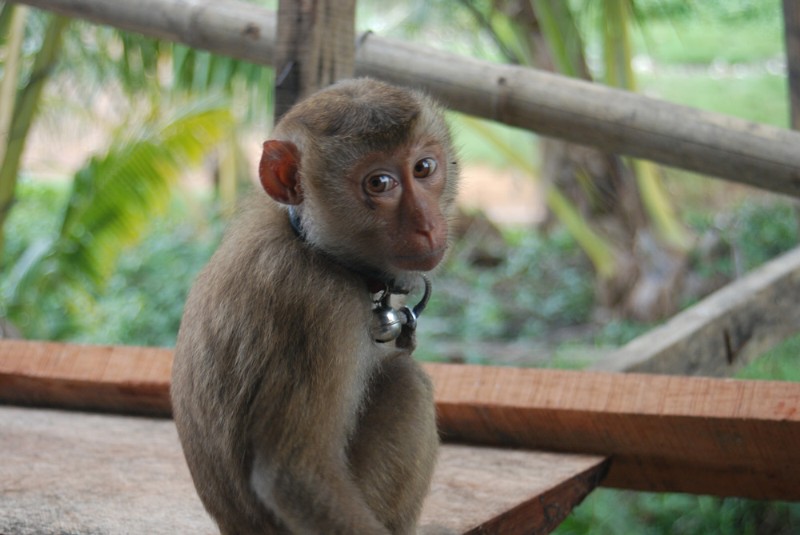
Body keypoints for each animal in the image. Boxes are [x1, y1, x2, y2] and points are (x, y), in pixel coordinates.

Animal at [171, 78, 460, 534]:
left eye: (424, 168)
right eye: (380, 183)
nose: (428, 226)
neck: (313, 245)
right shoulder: (320, 309)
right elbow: (295, 477)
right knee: (406, 383)